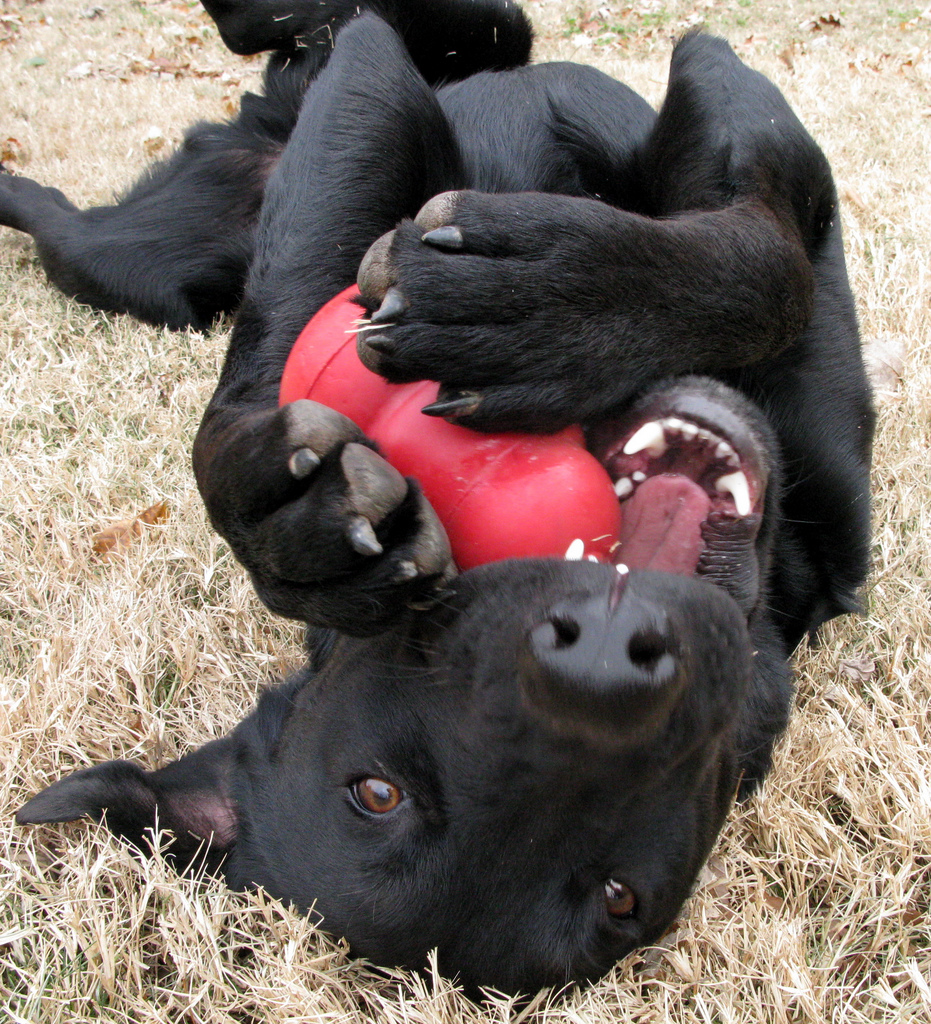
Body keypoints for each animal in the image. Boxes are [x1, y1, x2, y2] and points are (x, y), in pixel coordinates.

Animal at [9, 0, 872, 991]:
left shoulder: (737, 109)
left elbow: (770, 248)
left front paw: (558, 302)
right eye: (379, 792)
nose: (602, 660)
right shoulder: (352, 144)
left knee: (456, 33)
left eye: (621, 896)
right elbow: (268, 356)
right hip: (134, 264)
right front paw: (291, 524)